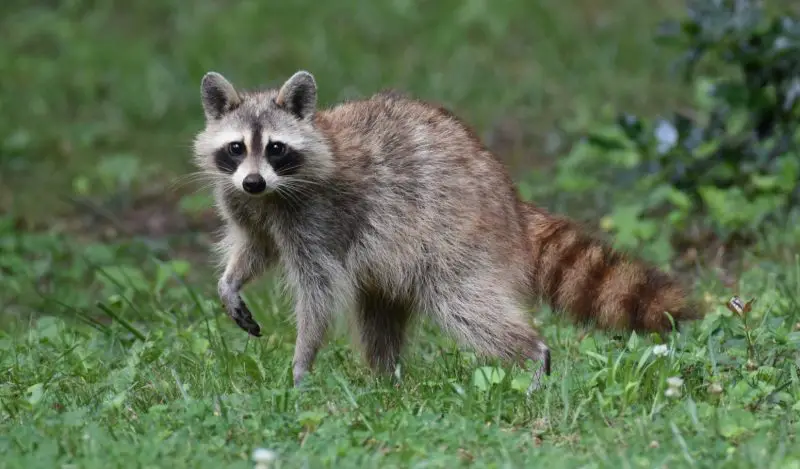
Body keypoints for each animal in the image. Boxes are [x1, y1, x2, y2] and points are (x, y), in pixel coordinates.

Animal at [192, 70, 702, 390]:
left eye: (276, 148)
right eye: (236, 148)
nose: (254, 181)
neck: (272, 193)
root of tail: (508, 194)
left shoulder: (318, 217)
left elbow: (318, 293)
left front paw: (302, 363)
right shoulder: (244, 204)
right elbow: (256, 247)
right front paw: (230, 282)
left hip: (456, 235)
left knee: (465, 306)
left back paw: (534, 356)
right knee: (379, 314)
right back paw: (385, 383)